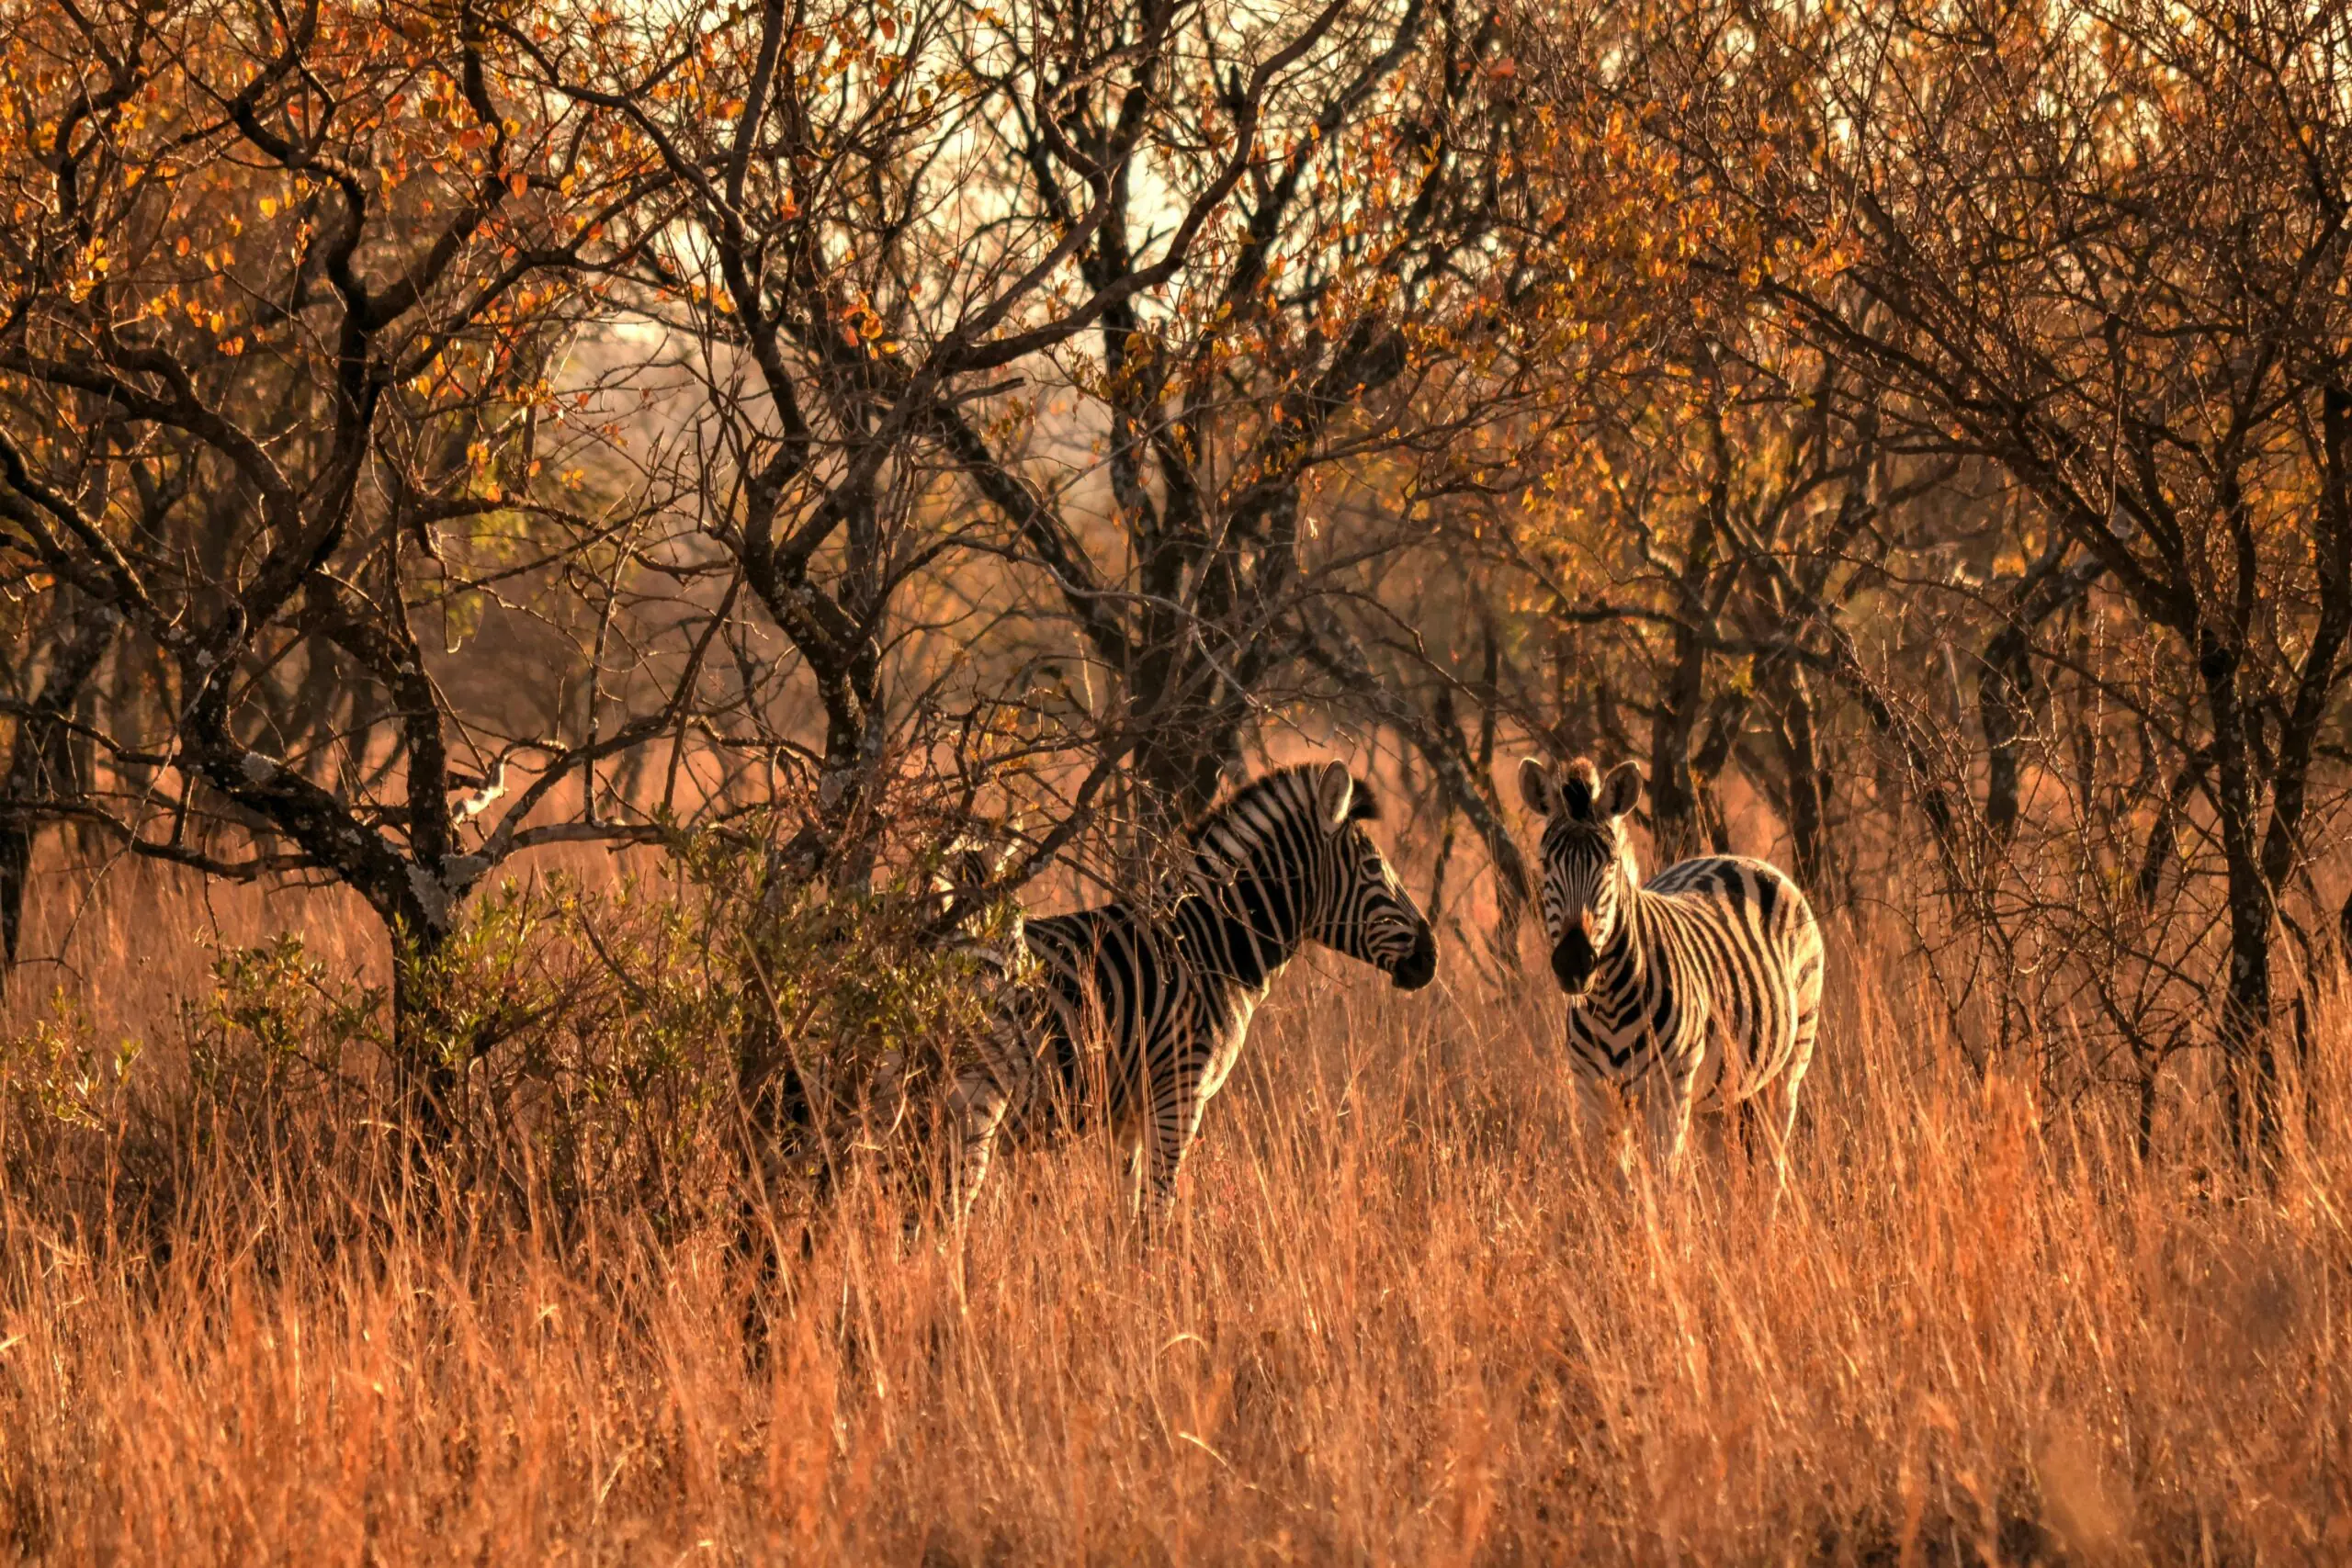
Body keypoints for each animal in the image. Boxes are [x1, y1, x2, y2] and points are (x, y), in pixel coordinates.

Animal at [949, 761, 1438, 1221]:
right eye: (1373, 867)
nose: (1431, 957)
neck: (1207, 948)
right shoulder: (1180, 1095)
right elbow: (1155, 1217)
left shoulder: (1128, 1114)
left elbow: (1126, 1215)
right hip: (975, 1099)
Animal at [1519, 755, 1825, 1184]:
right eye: (1545, 863)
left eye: (1610, 864)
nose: (1574, 964)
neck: (1607, 1002)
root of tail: (1735, 858)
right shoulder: (1593, 1093)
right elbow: (1613, 1185)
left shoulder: (1669, 1093)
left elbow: (1664, 1182)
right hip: (1718, 1093)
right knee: (1723, 1174)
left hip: (1790, 1062)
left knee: (1771, 1169)